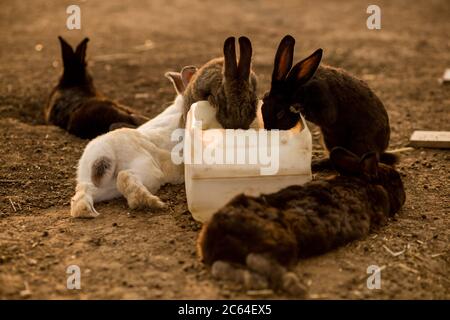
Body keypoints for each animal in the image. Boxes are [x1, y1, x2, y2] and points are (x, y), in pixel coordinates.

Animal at [71, 67, 197, 218]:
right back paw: (150, 202)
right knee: (125, 177)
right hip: (147, 168)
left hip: (103, 187)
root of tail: (102, 154)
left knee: (83, 194)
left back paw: (88, 211)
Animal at [199, 146, 406, 294]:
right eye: (395, 181)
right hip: (283, 242)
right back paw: (295, 286)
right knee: (258, 260)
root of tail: (219, 226)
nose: (404, 196)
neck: (362, 182)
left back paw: (256, 281)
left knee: (221, 266)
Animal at [260, 34, 398, 165]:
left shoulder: (323, 98)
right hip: (330, 140)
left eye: (280, 114)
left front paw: (297, 108)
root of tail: (382, 147)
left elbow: (327, 116)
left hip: (360, 140)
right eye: (262, 106)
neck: (296, 89)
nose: (268, 131)